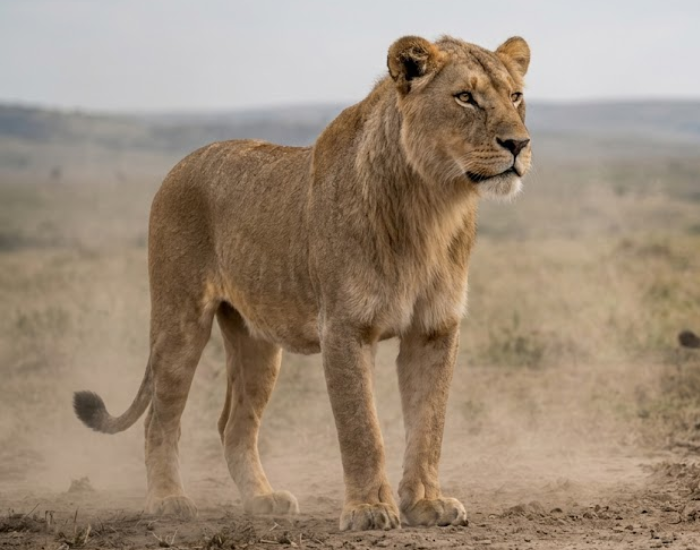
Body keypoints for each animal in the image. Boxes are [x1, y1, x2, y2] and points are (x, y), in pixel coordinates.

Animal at [74, 34, 531, 531]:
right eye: (465, 97)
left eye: (515, 96)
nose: (519, 143)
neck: (431, 205)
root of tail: (182, 163)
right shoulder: (345, 328)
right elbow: (362, 427)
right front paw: (369, 509)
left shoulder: (434, 329)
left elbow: (429, 425)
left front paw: (427, 503)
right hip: (179, 320)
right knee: (160, 417)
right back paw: (167, 500)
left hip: (256, 343)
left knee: (233, 425)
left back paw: (263, 499)